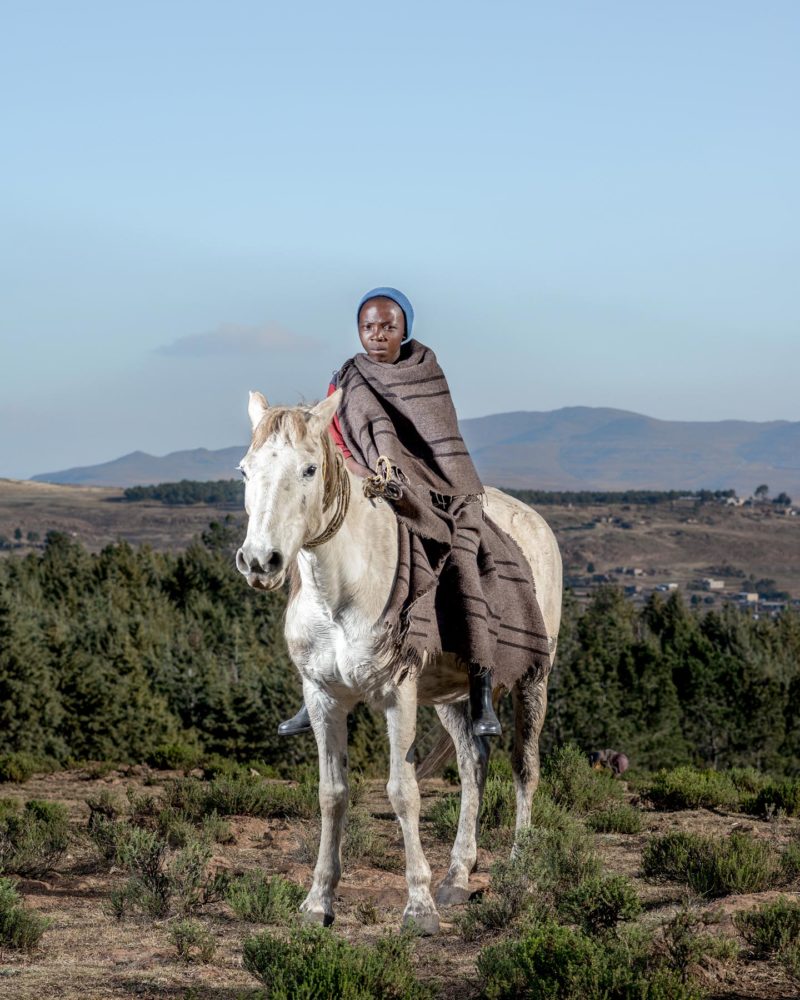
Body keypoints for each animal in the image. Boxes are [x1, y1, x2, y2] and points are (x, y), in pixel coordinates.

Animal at [238, 388, 564, 928]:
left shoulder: (397, 694)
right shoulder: (323, 698)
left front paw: (419, 906)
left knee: (525, 767)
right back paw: (458, 876)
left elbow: (402, 791)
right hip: (452, 697)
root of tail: (536, 523)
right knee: (473, 765)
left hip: (533, 678)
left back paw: (522, 868)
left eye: (309, 469)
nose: (260, 561)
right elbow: (332, 793)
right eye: (245, 470)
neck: (342, 591)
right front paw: (318, 901)